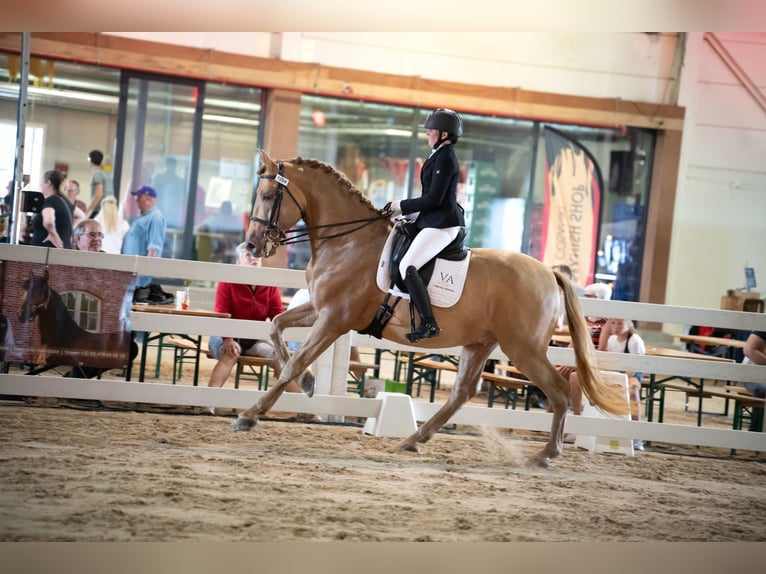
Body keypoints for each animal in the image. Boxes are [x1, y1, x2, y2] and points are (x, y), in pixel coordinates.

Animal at [236, 150, 632, 468]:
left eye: (268, 195)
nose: (252, 246)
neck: (349, 242)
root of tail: (549, 273)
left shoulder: (334, 319)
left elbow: (294, 362)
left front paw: (250, 415)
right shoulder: (320, 309)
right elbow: (276, 326)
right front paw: (306, 383)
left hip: (524, 349)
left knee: (559, 392)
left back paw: (546, 454)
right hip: (481, 343)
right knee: (462, 393)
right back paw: (413, 440)